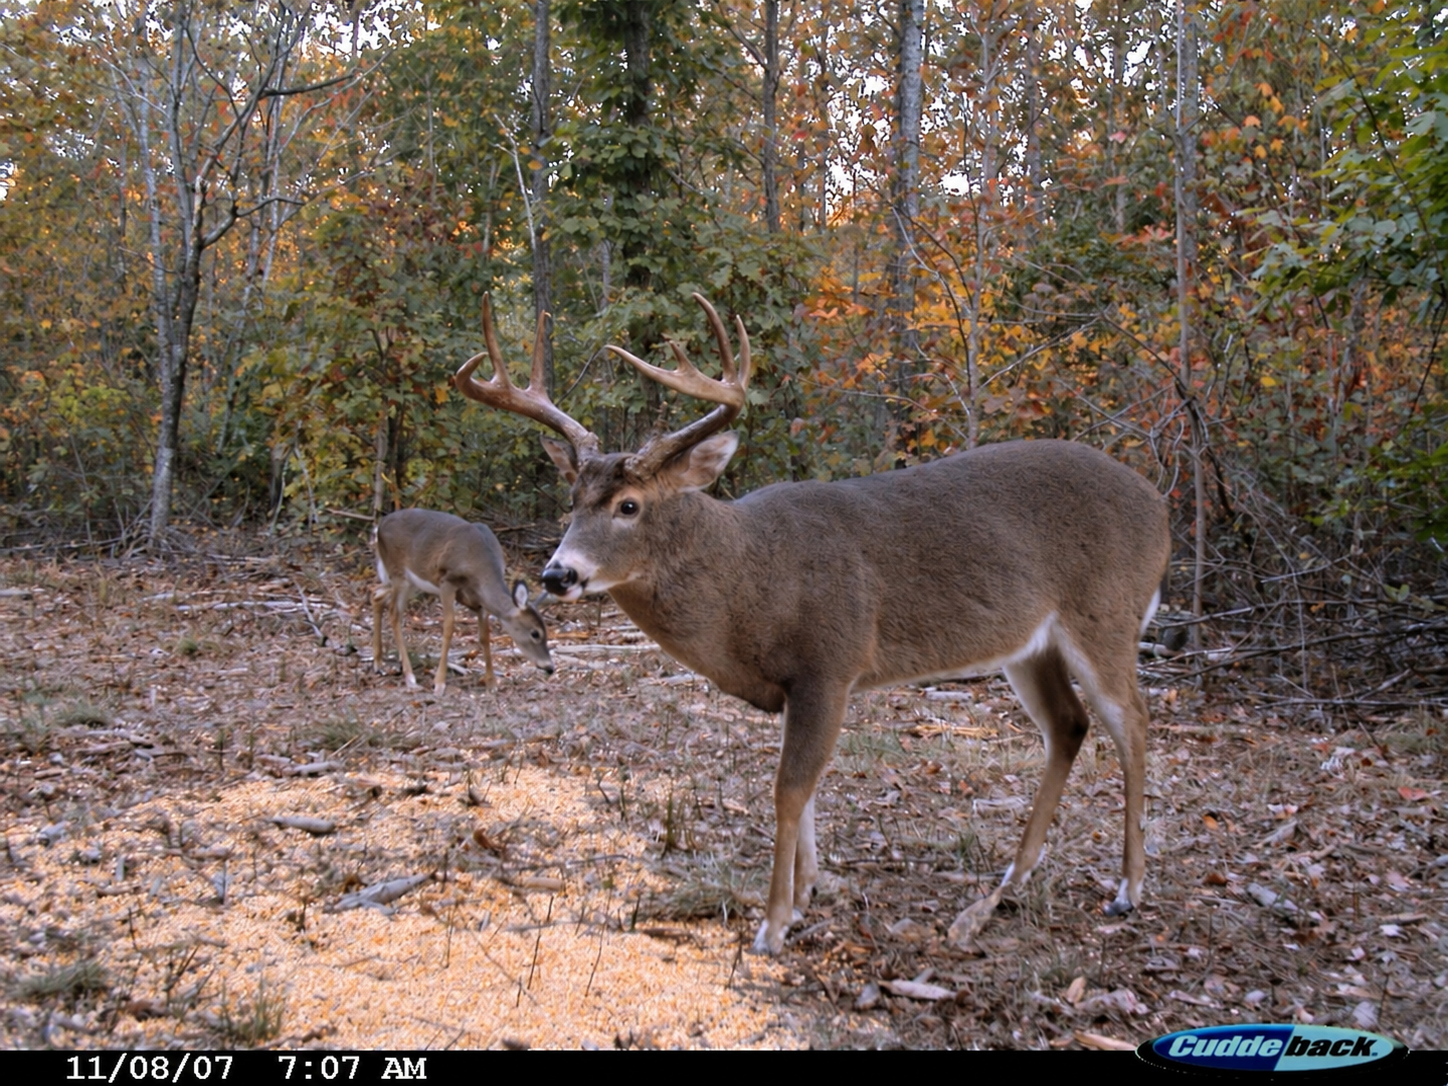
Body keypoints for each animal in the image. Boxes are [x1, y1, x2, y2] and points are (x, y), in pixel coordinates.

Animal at [371, 508, 554, 693]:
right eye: (535, 633)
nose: (550, 667)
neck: (479, 565)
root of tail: (380, 526)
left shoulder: (479, 600)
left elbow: (484, 636)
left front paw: (492, 683)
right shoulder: (447, 581)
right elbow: (448, 628)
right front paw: (439, 683)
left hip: (409, 582)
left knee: (377, 595)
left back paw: (379, 664)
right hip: (399, 573)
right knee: (394, 613)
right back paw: (409, 676)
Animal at [452, 294, 1171, 955]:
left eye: (629, 505)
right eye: (573, 499)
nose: (558, 574)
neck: (751, 583)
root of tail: (1158, 506)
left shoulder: (832, 659)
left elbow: (789, 790)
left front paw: (772, 925)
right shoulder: (800, 684)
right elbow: (809, 793)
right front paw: (802, 897)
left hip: (1105, 614)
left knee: (1132, 721)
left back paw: (1129, 889)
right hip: (1027, 645)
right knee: (1068, 725)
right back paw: (1012, 877)